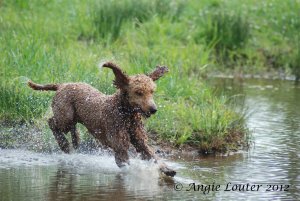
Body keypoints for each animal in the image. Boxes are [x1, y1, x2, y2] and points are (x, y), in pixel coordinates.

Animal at [28, 62, 176, 177]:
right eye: (138, 92)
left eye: (152, 91)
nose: (153, 109)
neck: (125, 115)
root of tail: (61, 85)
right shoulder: (119, 144)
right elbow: (126, 162)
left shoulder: (139, 140)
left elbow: (152, 155)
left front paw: (167, 169)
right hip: (65, 116)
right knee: (52, 122)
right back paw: (64, 144)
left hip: (72, 116)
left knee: (71, 128)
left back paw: (75, 140)